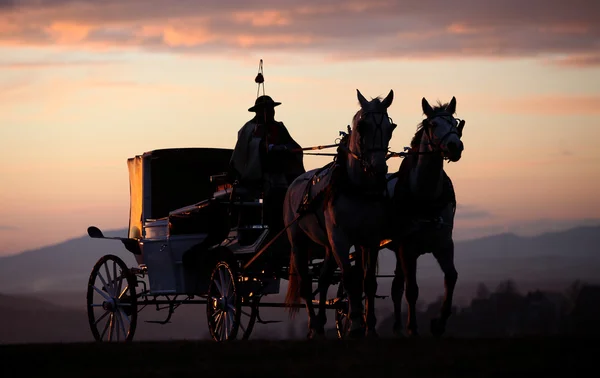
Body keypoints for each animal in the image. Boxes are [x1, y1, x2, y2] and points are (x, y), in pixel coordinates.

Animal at [282, 89, 396, 340]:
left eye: (390, 127)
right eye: (362, 126)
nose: (379, 169)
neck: (358, 188)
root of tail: (295, 183)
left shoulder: (369, 239)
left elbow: (367, 281)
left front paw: (370, 326)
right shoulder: (341, 238)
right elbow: (350, 279)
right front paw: (355, 325)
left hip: (327, 244)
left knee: (324, 279)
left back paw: (321, 323)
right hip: (298, 241)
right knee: (305, 284)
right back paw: (313, 325)